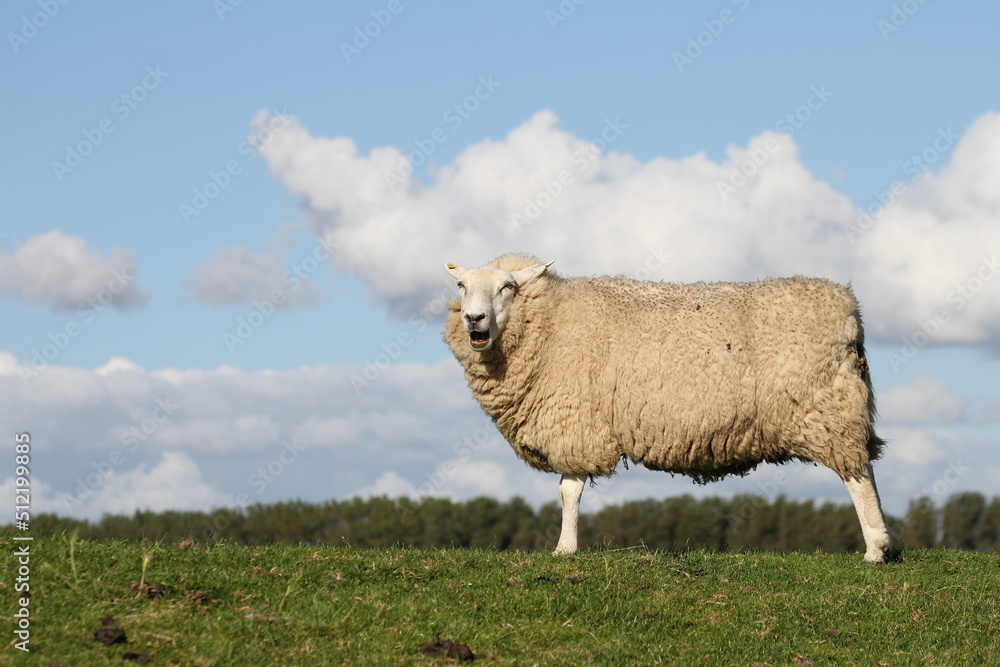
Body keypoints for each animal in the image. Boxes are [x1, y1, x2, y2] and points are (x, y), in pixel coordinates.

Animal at [442, 252, 895, 562]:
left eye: (507, 288)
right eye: (461, 286)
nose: (474, 319)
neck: (551, 322)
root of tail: (849, 308)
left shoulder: (575, 423)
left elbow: (568, 491)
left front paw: (564, 549)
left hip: (828, 410)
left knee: (857, 476)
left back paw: (876, 547)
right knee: (866, 467)